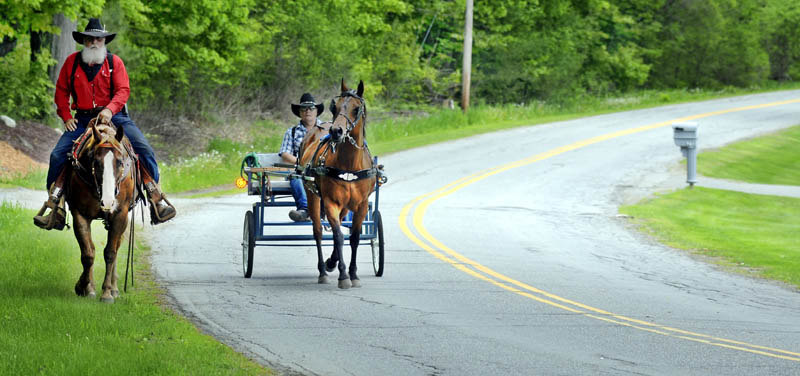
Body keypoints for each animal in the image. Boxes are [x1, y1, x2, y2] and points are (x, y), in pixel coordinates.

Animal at [69, 119, 139, 304]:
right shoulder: (79, 214)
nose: (108, 202)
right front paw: (84, 286)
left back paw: (114, 288)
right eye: (95, 162)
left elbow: (110, 253)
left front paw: (106, 293)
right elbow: (88, 253)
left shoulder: (120, 215)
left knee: (116, 247)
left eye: (120, 162)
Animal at [298, 79, 376, 288]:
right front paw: (343, 275)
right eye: (335, 107)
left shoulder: (361, 204)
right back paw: (323, 271)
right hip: (313, 195)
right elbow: (339, 236)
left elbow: (354, 237)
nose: (336, 131)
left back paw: (331, 262)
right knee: (318, 231)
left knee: (338, 226)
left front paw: (353, 274)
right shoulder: (330, 202)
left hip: (345, 206)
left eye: (356, 109)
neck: (349, 164)